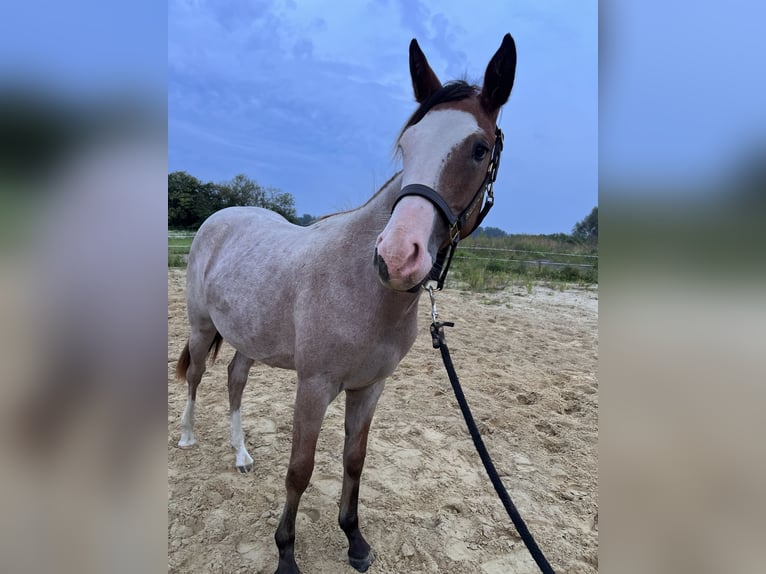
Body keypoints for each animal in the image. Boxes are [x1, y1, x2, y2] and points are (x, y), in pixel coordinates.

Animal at [176, 34, 516, 574]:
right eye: (407, 145)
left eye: (479, 149)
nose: (396, 256)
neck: (363, 289)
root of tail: (221, 216)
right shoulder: (314, 386)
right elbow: (300, 469)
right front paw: (286, 555)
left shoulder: (369, 388)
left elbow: (353, 461)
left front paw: (355, 540)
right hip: (201, 325)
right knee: (195, 375)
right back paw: (188, 437)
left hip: (247, 336)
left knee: (234, 380)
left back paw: (242, 454)